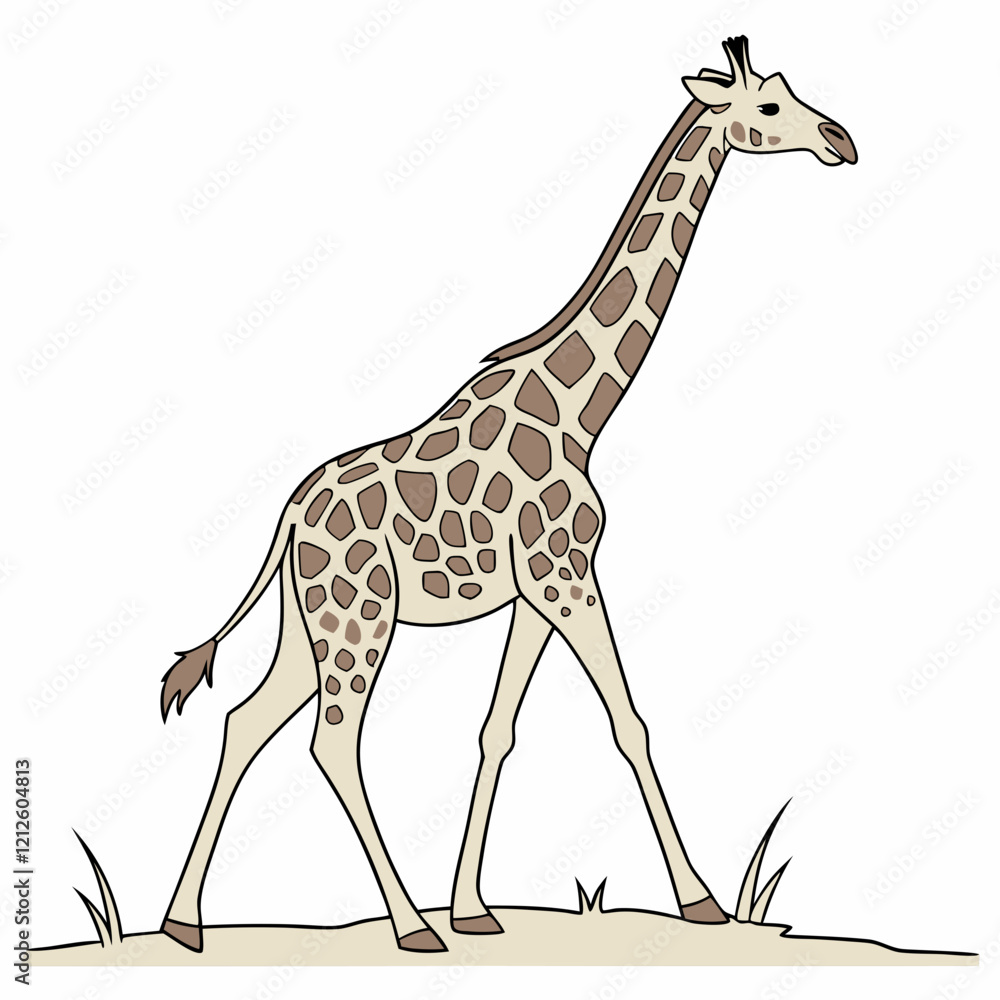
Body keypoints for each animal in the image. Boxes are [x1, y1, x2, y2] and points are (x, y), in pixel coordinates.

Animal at [158, 36, 857, 953]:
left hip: (310, 625)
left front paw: (474, 907)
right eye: (769, 107)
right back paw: (408, 925)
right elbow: (629, 722)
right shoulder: (568, 575)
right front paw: (701, 900)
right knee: (333, 743)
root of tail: (289, 516)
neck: (580, 411)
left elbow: (497, 731)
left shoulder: (534, 592)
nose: (843, 141)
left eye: (790, 90)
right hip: (358, 618)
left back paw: (183, 921)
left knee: (247, 720)